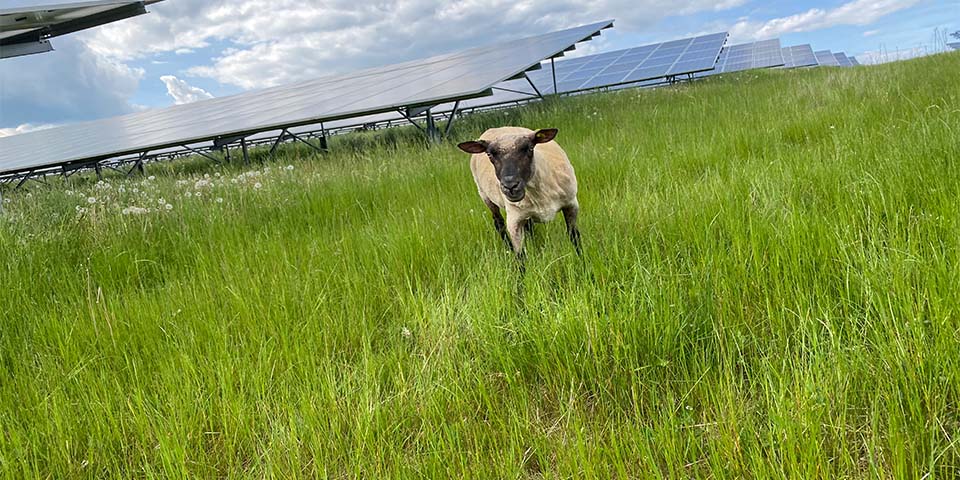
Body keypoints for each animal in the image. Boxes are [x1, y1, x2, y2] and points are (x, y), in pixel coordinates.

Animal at [457, 126, 581, 258]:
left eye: (530, 149)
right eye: (489, 155)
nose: (510, 186)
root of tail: (495, 128)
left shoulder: (571, 205)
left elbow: (575, 237)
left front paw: (581, 260)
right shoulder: (514, 220)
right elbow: (520, 255)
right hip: (485, 195)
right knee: (499, 223)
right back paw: (509, 248)